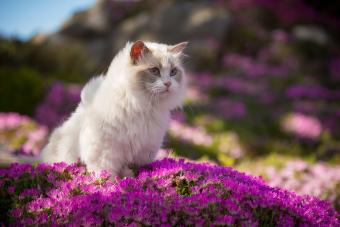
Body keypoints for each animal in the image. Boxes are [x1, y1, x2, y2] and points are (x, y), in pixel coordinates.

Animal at [41, 40, 189, 178]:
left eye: (173, 72)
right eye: (154, 71)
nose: (168, 84)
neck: (143, 106)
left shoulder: (142, 153)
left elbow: (130, 173)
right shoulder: (105, 152)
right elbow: (106, 175)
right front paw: (113, 186)